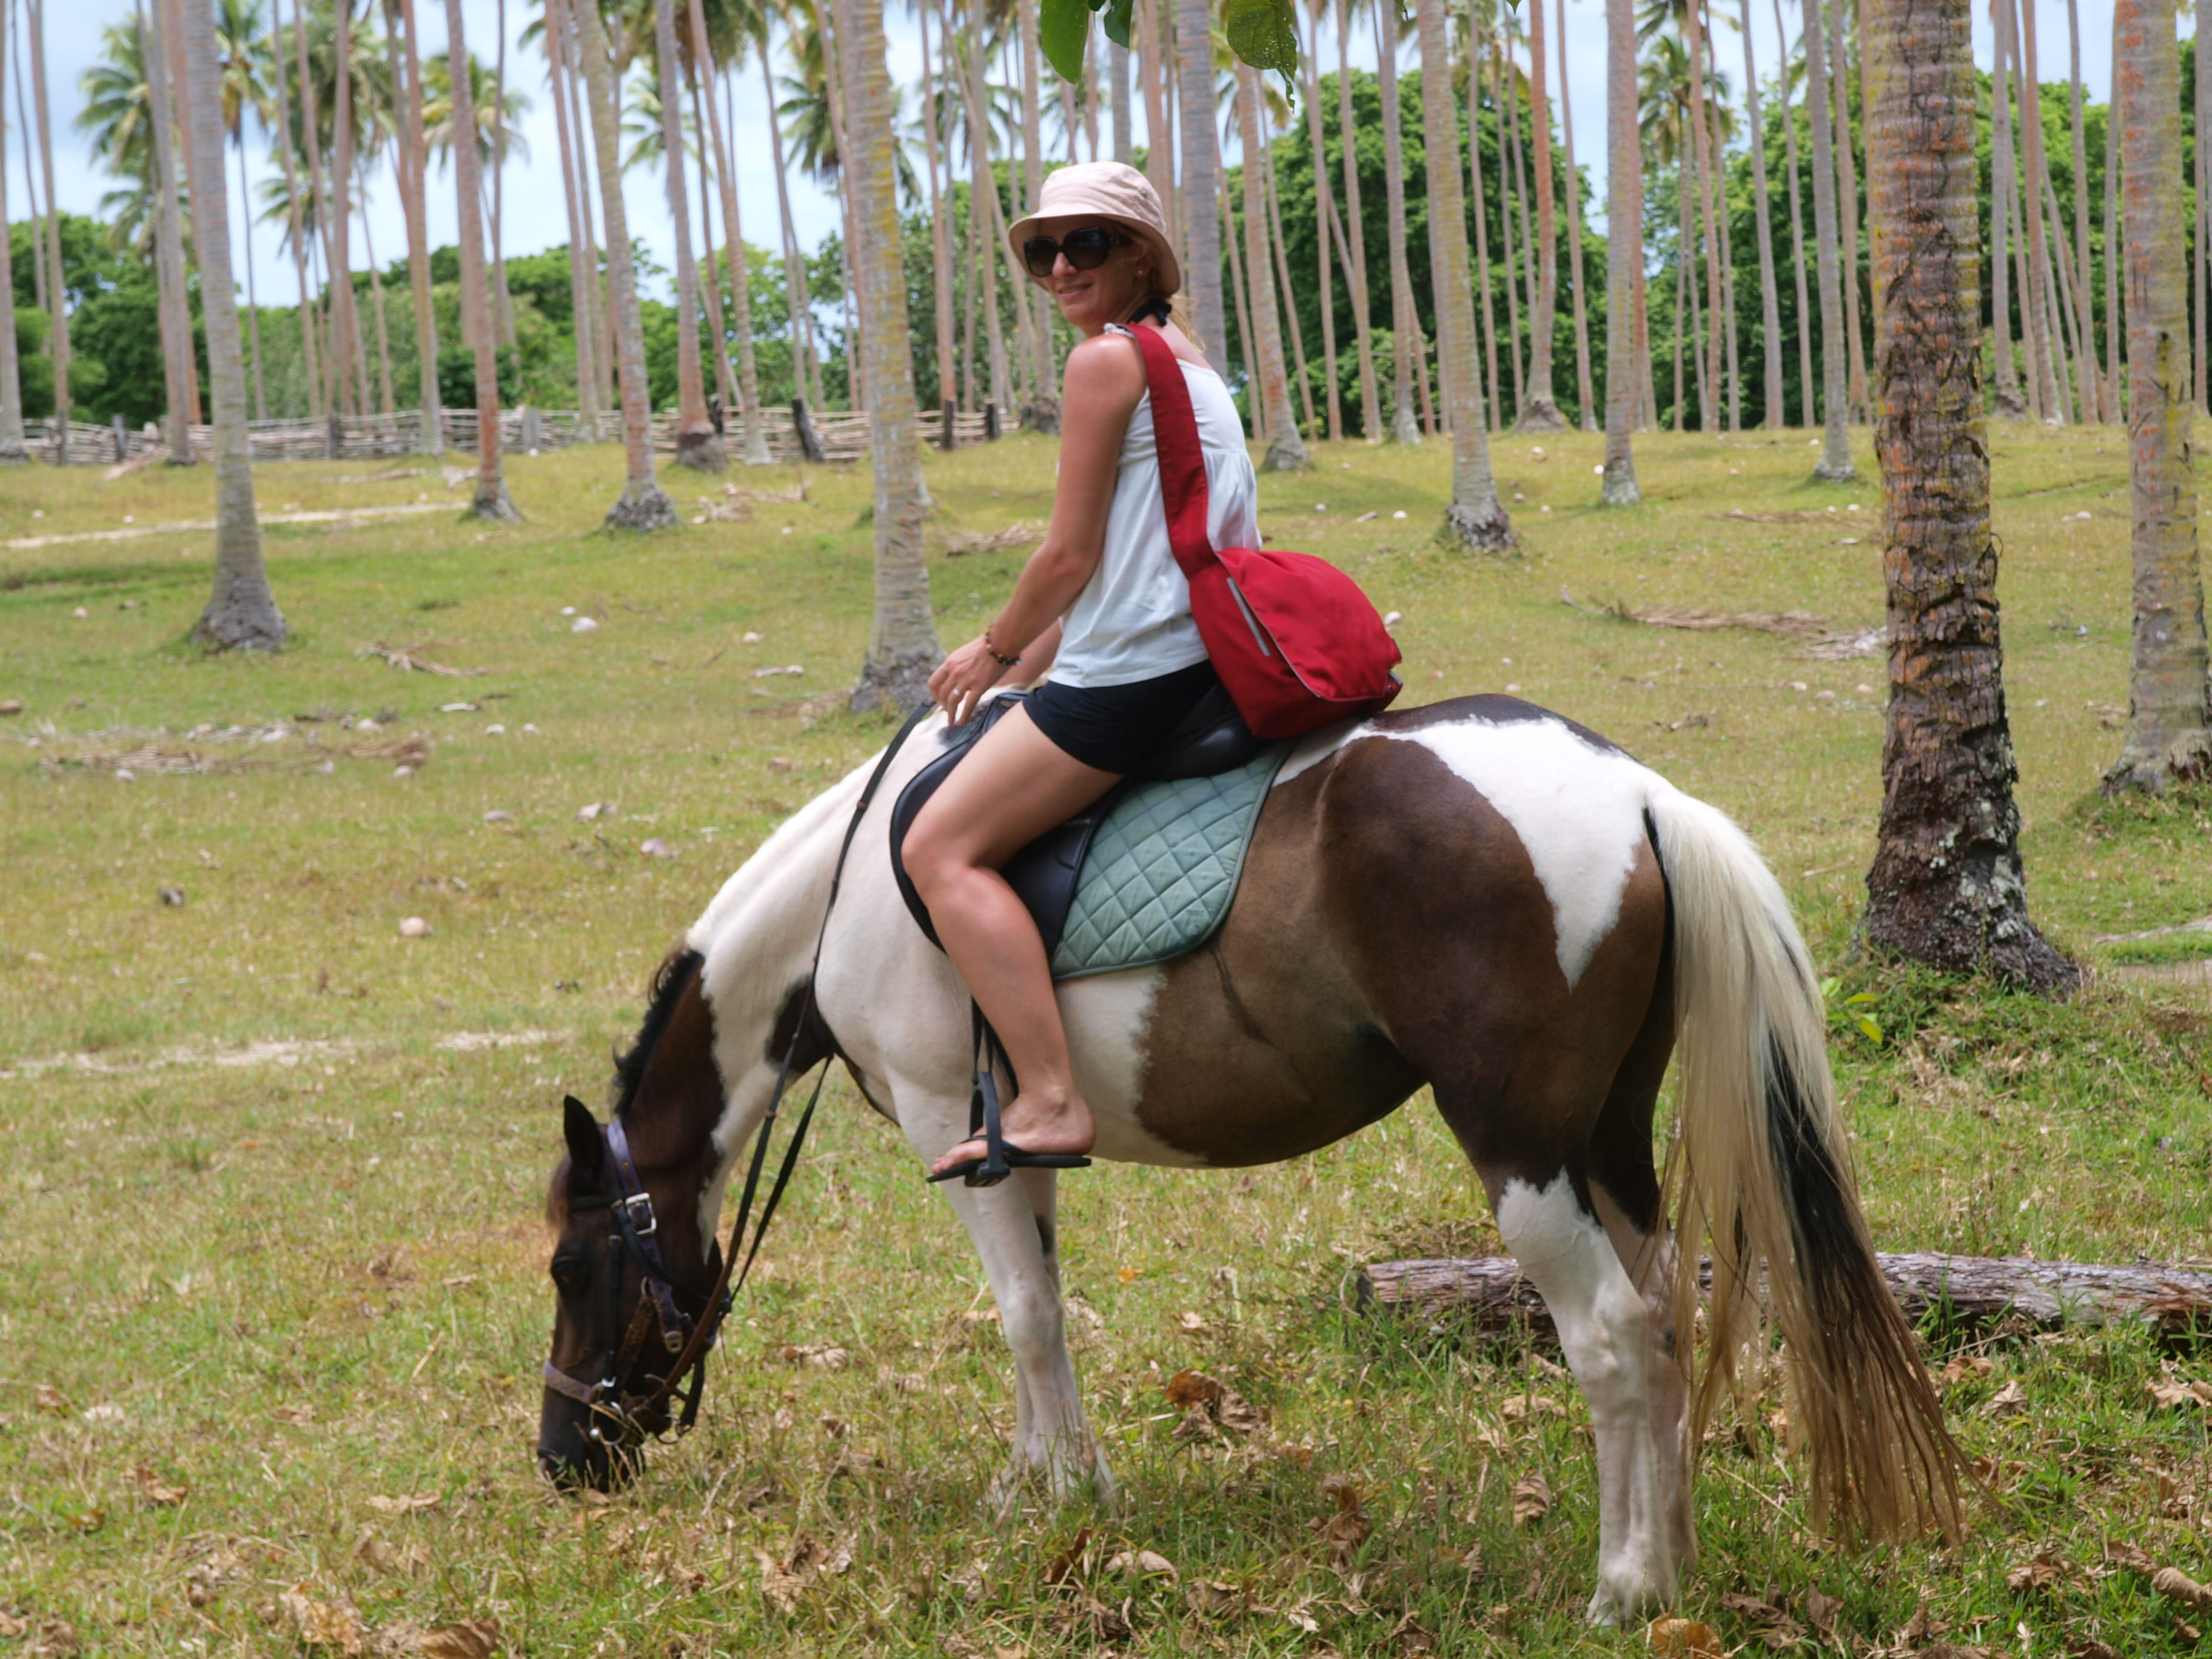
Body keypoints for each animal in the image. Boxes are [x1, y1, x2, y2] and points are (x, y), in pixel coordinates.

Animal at [544, 690, 1964, 1627]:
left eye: (569, 1268)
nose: (565, 1461)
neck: (852, 895)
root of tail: (1635, 796)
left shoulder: (955, 1124)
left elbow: (1019, 1316)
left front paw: (1055, 1496)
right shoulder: (1017, 1148)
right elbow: (1042, 1310)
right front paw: (1050, 1487)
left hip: (1519, 1147)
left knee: (1611, 1339)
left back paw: (1619, 1590)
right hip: (1606, 1138)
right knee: (1666, 1321)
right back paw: (1671, 1562)